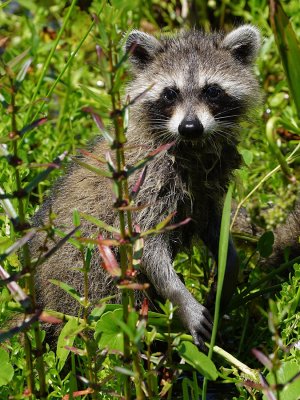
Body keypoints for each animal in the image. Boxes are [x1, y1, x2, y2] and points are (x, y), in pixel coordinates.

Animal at [32, 25, 262, 350]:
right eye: (170, 93)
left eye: (212, 90)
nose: (190, 127)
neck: (189, 147)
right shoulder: (145, 186)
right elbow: (148, 249)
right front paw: (182, 298)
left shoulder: (206, 189)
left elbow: (215, 228)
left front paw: (228, 269)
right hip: (84, 287)